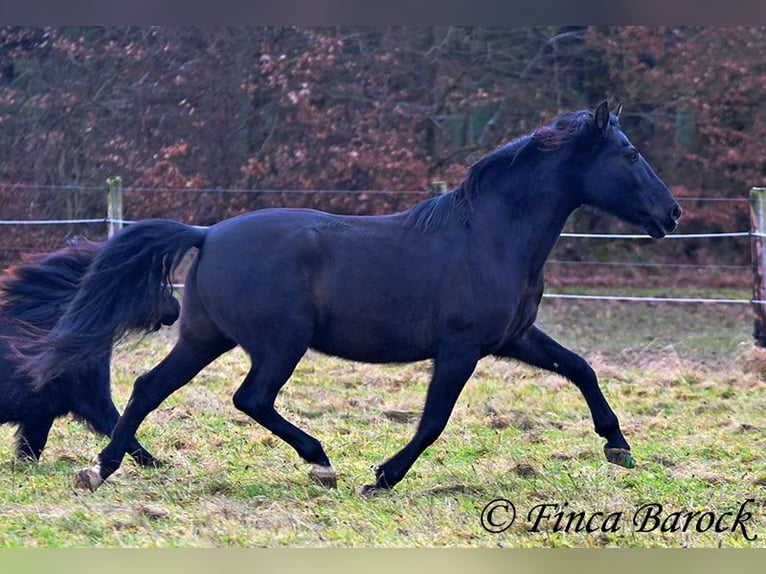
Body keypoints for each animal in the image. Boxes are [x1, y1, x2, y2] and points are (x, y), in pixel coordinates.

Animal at [0, 240, 180, 468]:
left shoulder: (41, 414)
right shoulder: (93, 401)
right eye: (150, 282)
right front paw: (156, 463)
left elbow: (29, 450)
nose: (177, 308)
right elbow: (121, 431)